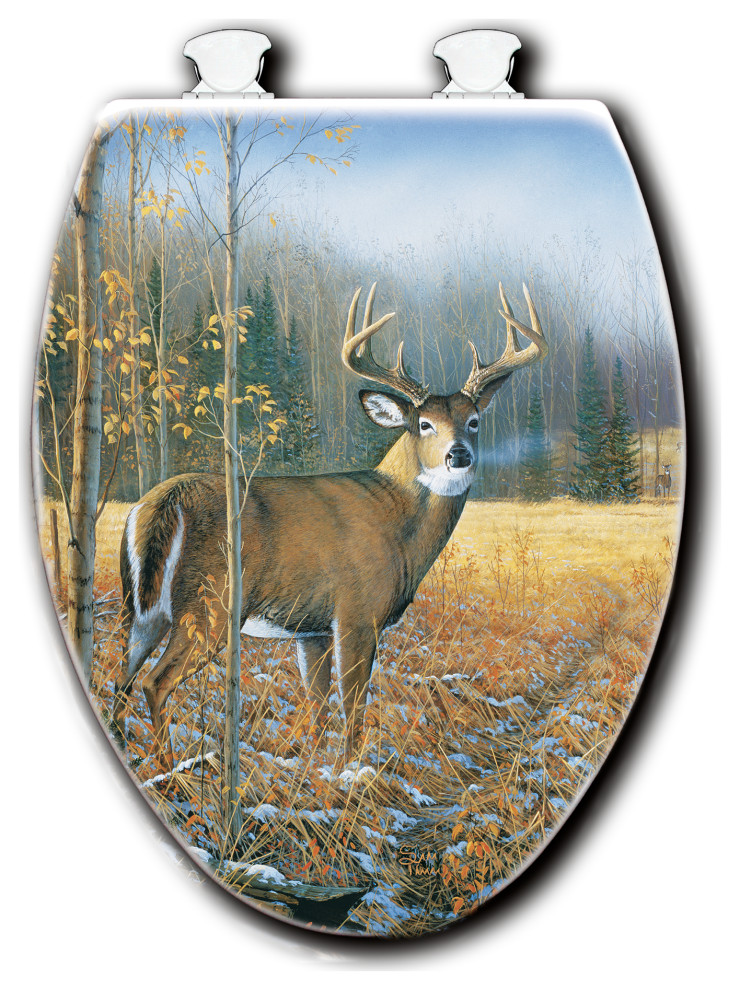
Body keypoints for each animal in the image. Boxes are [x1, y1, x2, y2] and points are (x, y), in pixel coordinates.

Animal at [112, 282, 547, 769]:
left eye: (473, 421)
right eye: (424, 424)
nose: (459, 454)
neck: (397, 522)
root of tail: (160, 503)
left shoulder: (312, 627)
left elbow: (317, 703)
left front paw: (314, 768)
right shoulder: (357, 611)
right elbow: (352, 703)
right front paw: (351, 771)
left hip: (143, 610)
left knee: (121, 679)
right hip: (210, 605)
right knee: (154, 683)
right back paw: (167, 767)